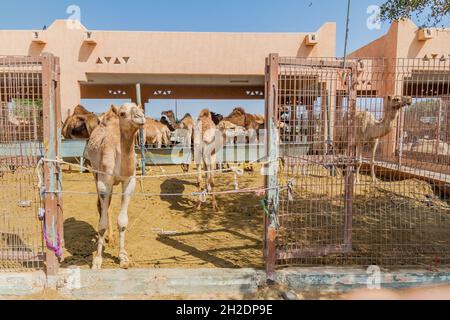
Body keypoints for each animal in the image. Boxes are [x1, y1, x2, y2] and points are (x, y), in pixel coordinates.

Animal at [85, 103, 145, 270]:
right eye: (123, 113)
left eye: (141, 110)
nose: (140, 117)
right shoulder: (104, 182)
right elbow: (102, 223)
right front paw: (97, 260)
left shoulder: (129, 181)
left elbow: (123, 221)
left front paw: (123, 258)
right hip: (95, 173)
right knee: (102, 206)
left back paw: (111, 239)